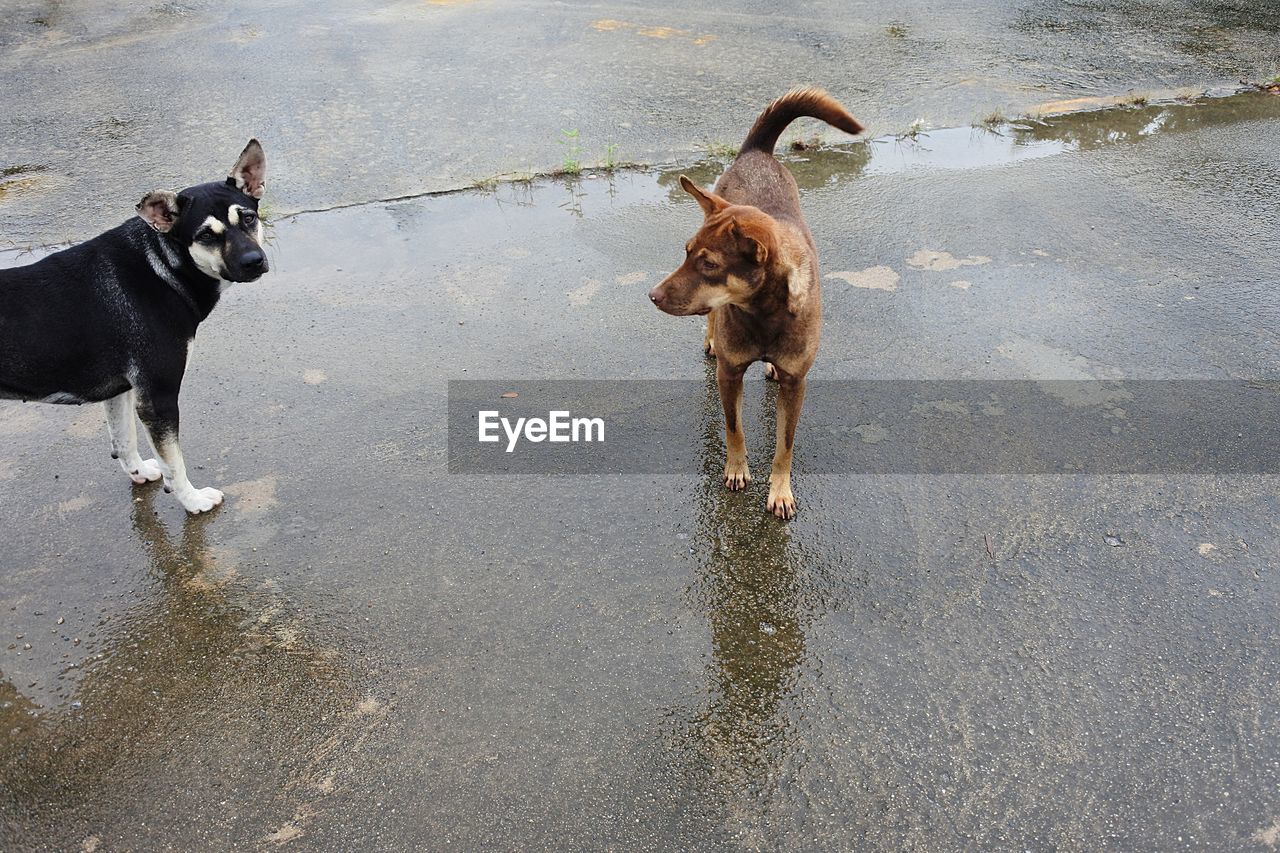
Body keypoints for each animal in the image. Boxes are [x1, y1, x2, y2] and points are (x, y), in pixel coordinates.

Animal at [0, 140, 270, 512]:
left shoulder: (121, 392)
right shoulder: (157, 398)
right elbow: (175, 464)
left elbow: (123, 440)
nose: (253, 262)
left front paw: (139, 472)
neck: (162, 266)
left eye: (248, 217)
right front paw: (192, 500)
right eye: (205, 235)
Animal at [645, 86, 865, 517]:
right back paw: (712, 339)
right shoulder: (729, 373)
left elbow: (785, 445)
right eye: (686, 252)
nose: (653, 296)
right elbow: (734, 428)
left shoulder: (797, 384)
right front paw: (735, 470)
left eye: (709, 264)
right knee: (711, 319)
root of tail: (756, 151)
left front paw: (780, 490)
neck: (763, 313)